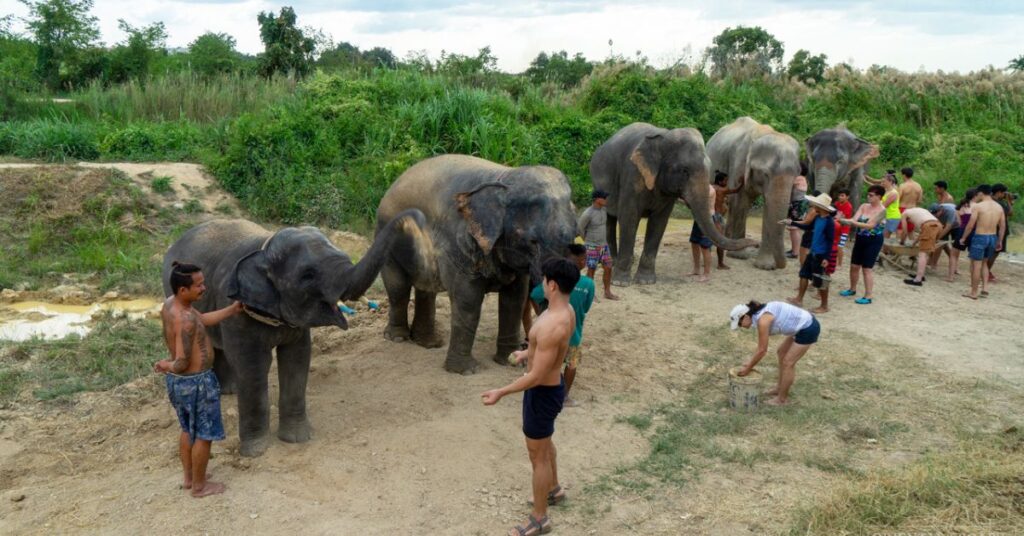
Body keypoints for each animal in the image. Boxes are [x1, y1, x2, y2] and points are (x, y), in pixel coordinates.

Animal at [161, 211, 425, 457]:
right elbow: (253, 366)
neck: (264, 247)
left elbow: (297, 359)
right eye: (308, 275)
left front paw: (297, 439)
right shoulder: (237, 313)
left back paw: (229, 391)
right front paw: (256, 451)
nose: (416, 219)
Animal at [376, 152, 581, 375]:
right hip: (387, 236)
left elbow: (515, 299)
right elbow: (468, 299)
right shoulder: (460, 244)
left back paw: (428, 343)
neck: (504, 177)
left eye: (572, 240)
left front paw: (511, 361)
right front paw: (465, 371)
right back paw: (398, 338)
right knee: (398, 288)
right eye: (532, 241)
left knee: (426, 289)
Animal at [589, 124, 757, 286]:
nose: (756, 242)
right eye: (684, 170)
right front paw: (620, 282)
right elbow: (629, 218)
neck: (664, 136)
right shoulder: (632, 176)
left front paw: (646, 281)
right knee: (609, 219)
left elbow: (659, 223)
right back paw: (613, 263)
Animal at [708, 115, 802, 270]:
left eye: (796, 175)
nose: (779, 265)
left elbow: (769, 207)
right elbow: (740, 201)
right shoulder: (739, 161)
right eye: (765, 174)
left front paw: (765, 266)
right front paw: (739, 256)